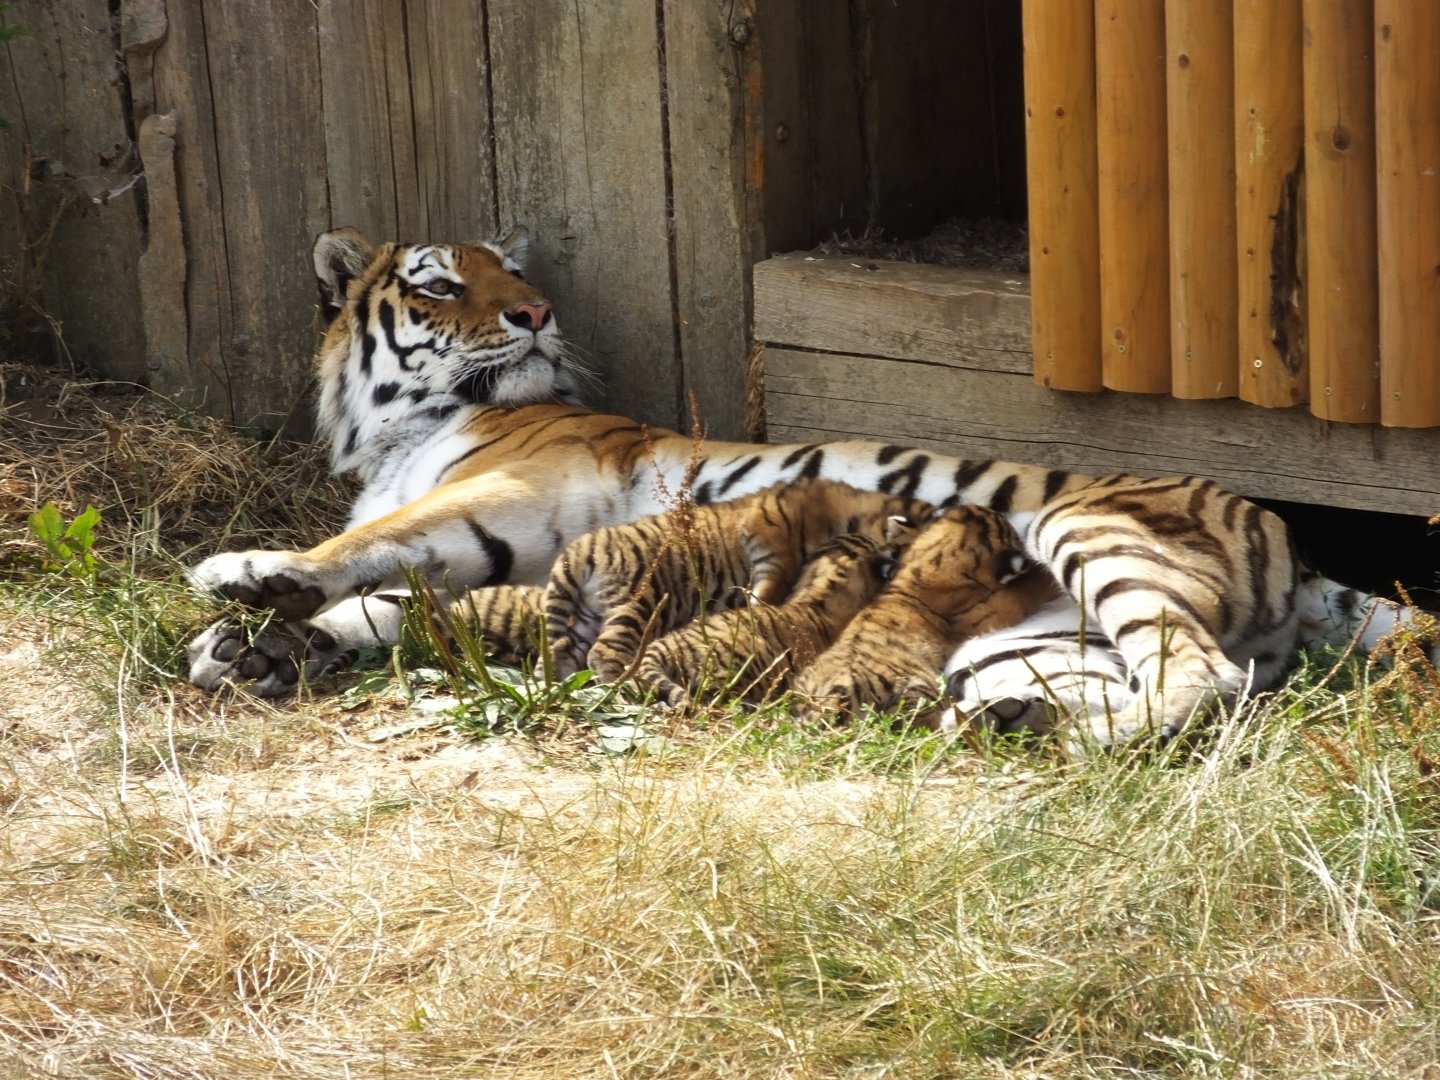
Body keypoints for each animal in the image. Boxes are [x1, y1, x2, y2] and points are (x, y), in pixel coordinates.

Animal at [543, 478, 932, 682]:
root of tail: (581, 547)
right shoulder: (771, 530)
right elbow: (773, 583)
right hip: (643, 597)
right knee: (605, 652)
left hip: (591, 616)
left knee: (569, 651)